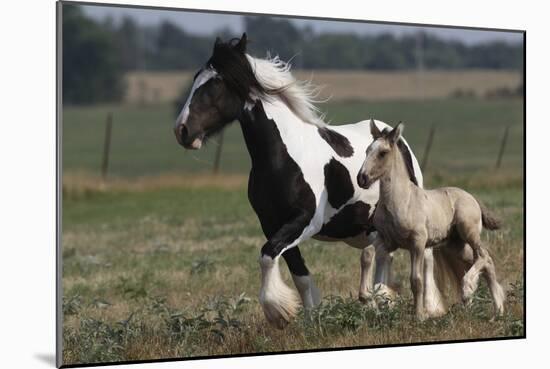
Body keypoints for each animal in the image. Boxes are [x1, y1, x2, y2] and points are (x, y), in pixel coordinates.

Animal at [176, 35, 448, 328]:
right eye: (196, 78)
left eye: (215, 84)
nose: (182, 130)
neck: (283, 156)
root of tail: (393, 135)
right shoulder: (271, 223)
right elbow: (298, 274)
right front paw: (309, 317)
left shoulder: (306, 220)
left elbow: (268, 255)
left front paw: (278, 312)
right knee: (382, 256)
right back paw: (381, 302)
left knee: (424, 258)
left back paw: (428, 308)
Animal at [358, 120, 508, 316]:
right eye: (367, 150)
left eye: (383, 153)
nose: (361, 178)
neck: (400, 201)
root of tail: (472, 197)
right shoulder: (388, 240)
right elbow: (367, 253)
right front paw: (365, 297)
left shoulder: (417, 242)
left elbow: (416, 279)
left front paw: (420, 315)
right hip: (456, 245)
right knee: (486, 262)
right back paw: (498, 310)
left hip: (468, 232)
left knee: (484, 256)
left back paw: (468, 289)